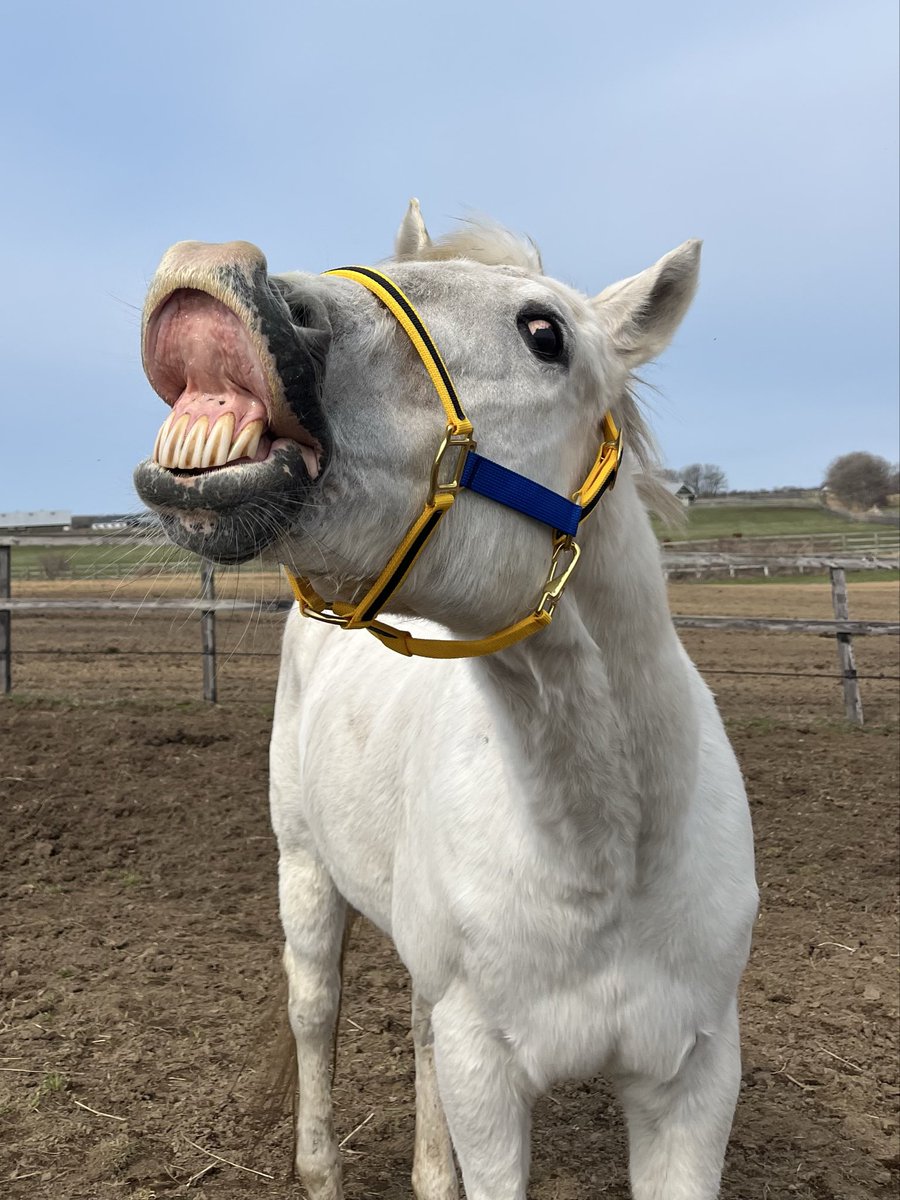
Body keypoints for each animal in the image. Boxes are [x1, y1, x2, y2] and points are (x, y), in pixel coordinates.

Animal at [134, 201, 758, 1199]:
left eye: (545, 333)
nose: (213, 277)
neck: (606, 854)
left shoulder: (694, 1082)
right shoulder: (488, 1075)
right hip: (305, 872)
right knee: (316, 1013)